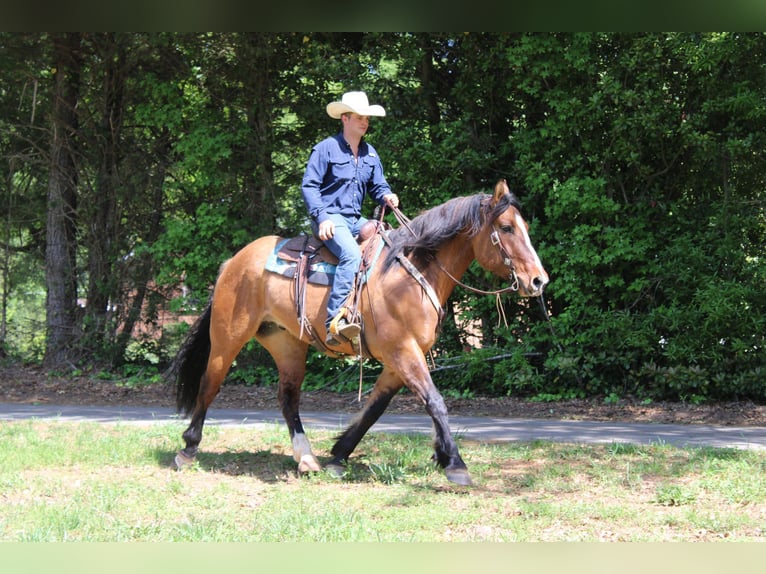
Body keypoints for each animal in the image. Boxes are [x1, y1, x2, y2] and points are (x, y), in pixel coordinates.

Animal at [171, 180, 548, 486]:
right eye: (506, 227)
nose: (538, 280)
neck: (410, 274)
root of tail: (233, 262)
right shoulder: (403, 352)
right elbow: (435, 402)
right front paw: (455, 464)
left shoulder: (398, 362)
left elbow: (374, 409)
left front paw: (339, 455)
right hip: (228, 337)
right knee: (209, 384)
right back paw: (188, 449)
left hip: (286, 344)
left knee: (288, 398)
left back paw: (307, 458)